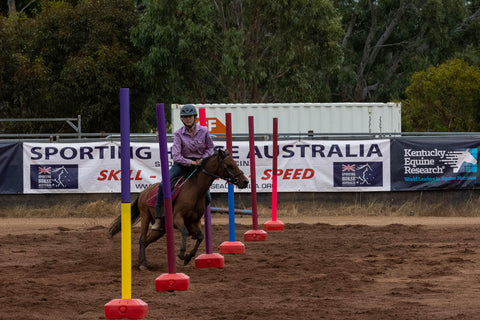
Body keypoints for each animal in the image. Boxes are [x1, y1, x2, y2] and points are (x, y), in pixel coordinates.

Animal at [107, 149, 249, 268]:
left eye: (235, 163)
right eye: (229, 165)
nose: (245, 181)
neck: (195, 190)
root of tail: (143, 192)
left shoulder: (195, 221)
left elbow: (201, 236)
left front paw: (188, 257)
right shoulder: (177, 218)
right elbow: (185, 232)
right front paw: (181, 254)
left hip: (161, 230)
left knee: (146, 241)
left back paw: (139, 262)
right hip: (145, 216)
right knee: (142, 240)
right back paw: (143, 264)